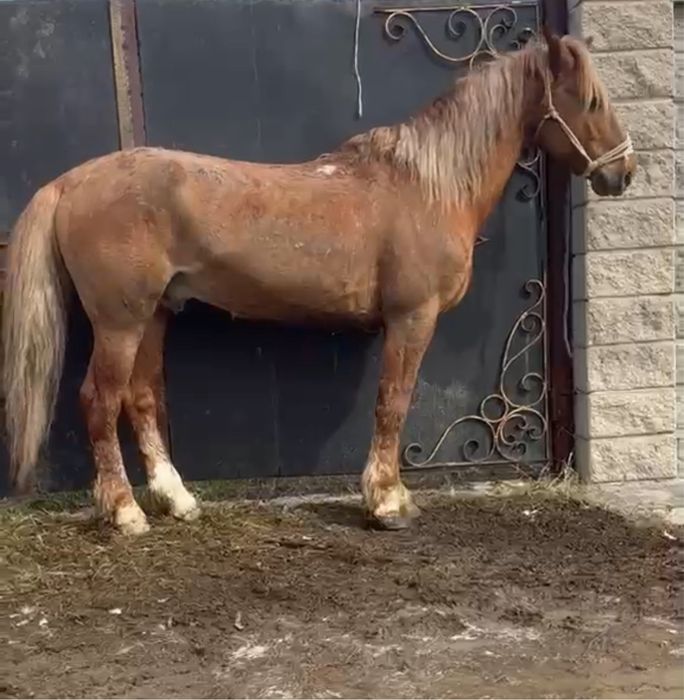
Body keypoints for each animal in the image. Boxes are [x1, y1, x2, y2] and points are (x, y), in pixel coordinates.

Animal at [2, 28, 634, 534]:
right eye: (591, 100)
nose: (623, 173)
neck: (427, 186)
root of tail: (70, 182)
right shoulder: (412, 318)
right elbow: (392, 403)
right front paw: (387, 503)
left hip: (154, 314)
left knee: (140, 399)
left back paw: (176, 500)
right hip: (120, 321)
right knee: (99, 401)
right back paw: (125, 512)